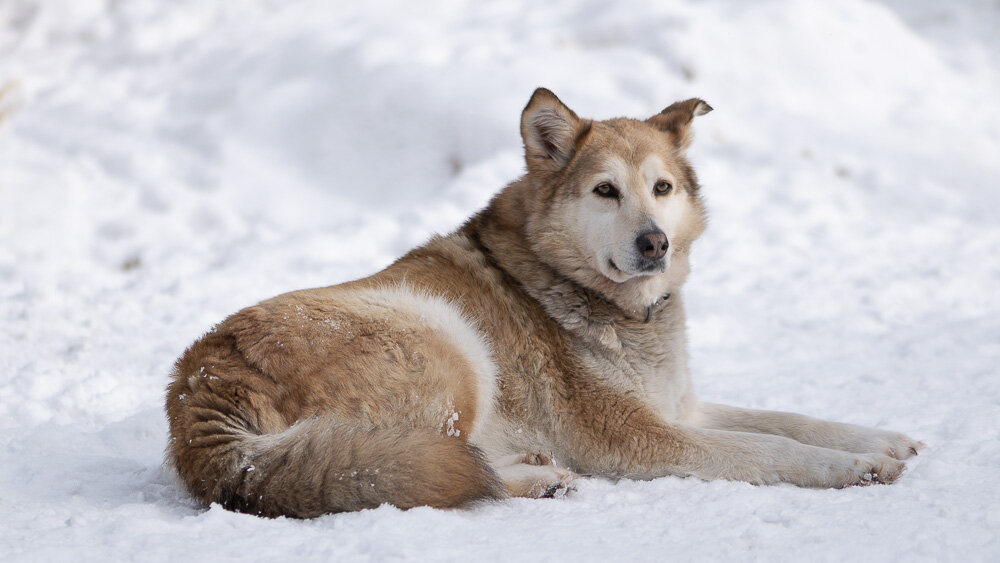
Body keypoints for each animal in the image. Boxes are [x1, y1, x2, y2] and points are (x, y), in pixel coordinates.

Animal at [164, 89, 920, 520]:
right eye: (606, 191)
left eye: (664, 187)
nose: (655, 242)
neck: (611, 305)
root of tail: (197, 386)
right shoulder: (641, 436)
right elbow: (769, 447)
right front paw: (853, 469)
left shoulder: (681, 407)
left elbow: (792, 419)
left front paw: (880, 438)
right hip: (449, 340)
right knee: (424, 469)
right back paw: (531, 479)